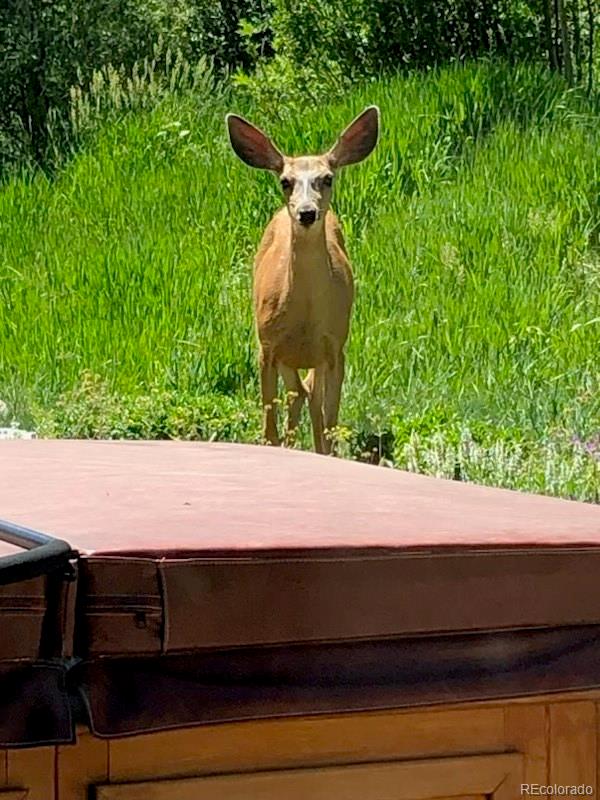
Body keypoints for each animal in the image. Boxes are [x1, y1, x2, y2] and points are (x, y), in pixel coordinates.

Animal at [225, 105, 380, 454]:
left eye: (327, 178)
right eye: (285, 181)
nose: (307, 212)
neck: (305, 316)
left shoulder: (335, 346)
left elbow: (330, 422)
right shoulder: (267, 345)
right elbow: (269, 424)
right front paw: (277, 445)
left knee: (309, 395)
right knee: (298, 394)